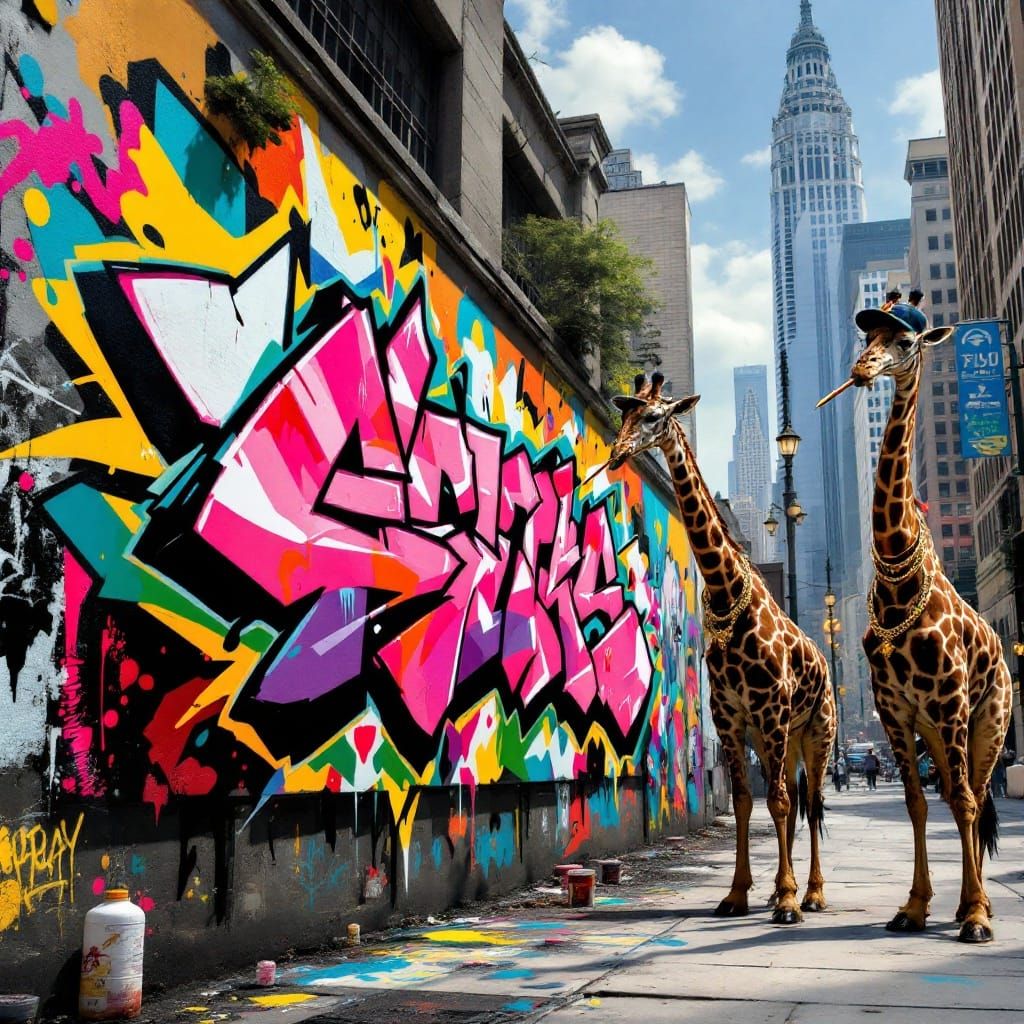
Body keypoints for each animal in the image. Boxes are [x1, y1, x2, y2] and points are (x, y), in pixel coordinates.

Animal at [609, 373, 837, 924]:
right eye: (627, 414)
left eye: (654, 417)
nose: (617, 451)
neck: (726, 592)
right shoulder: (732, 717)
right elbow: (745, 802)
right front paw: (739, 894)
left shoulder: (771, 711)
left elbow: (776, 802)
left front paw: (788, 901)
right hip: (783, 740)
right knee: (793, 796)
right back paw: (782, 890)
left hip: (816, 733)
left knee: (812, 799)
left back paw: (812, 893)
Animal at [819, 303, 1012, 943]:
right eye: (868, 336)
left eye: (903, 340)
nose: (862, 370)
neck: (900, 581)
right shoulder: (895, 709)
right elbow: (917, 803)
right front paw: (915, 906)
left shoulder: (950, 701)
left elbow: (963, 802)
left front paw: (973, 915)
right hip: (936, 728)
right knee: (953, 794)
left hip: (988, 721)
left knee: (975, 794)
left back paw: (981, 906)